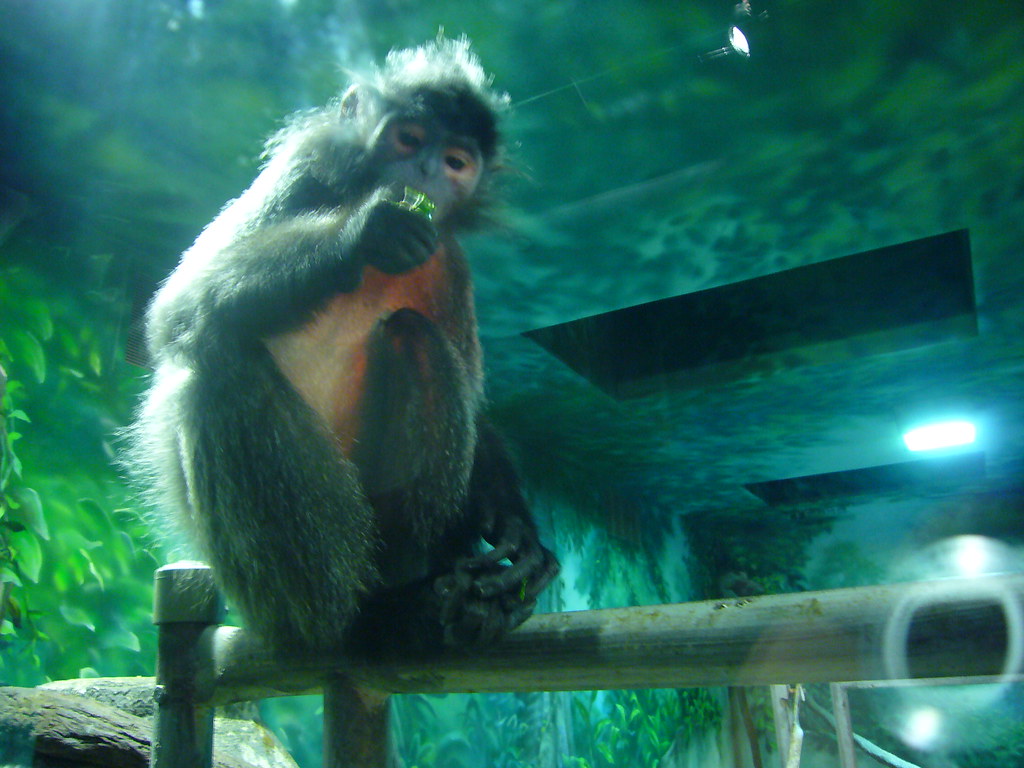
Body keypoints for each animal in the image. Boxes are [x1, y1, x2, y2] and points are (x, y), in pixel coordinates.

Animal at [130, 38, 559, 655]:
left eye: (455, 162)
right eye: (409, 139)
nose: (424, 171)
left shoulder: (448, 257)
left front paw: (518, 534)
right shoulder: (301, 172)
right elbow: (176, 311)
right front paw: (363, 233)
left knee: (416, 336)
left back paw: (435, 595)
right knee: (215, 363)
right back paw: (354, 620)